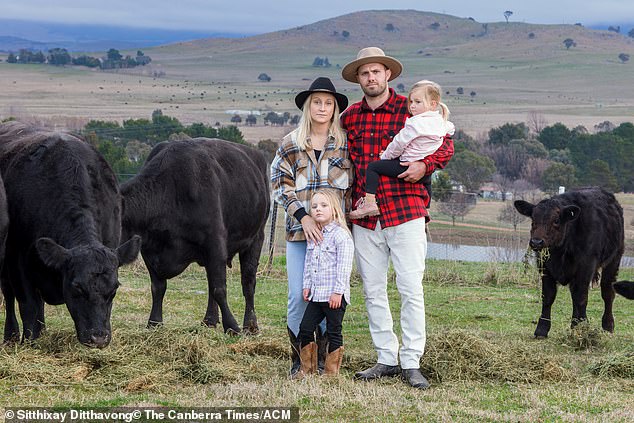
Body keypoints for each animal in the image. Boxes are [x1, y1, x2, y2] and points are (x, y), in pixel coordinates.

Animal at [0, 121, 141, 348]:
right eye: (77, 287)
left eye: (114, 290)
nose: (99, 337)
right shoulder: (18, 262)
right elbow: (28, 307)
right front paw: (31, 343)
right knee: (10, 296)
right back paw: (11, 337)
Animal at [119, 138, 268, 334]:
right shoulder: (149, 250)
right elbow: (158, 287)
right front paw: (154, 323)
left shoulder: (215, 244)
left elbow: (219, 289)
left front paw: (232, 326)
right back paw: (210, 320)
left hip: (256, 238)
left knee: (248, 282)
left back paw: (250, 325)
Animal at [512, 187, 628, 340]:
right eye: (533, 219)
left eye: (556, 220)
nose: (536, 242)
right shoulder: (545, 267)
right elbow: (548, 297)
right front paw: (542, 329)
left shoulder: (586, 266)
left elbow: (581, 298)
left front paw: (583, 328)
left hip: (614, 259)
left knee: (607, 293)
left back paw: (608, 326)